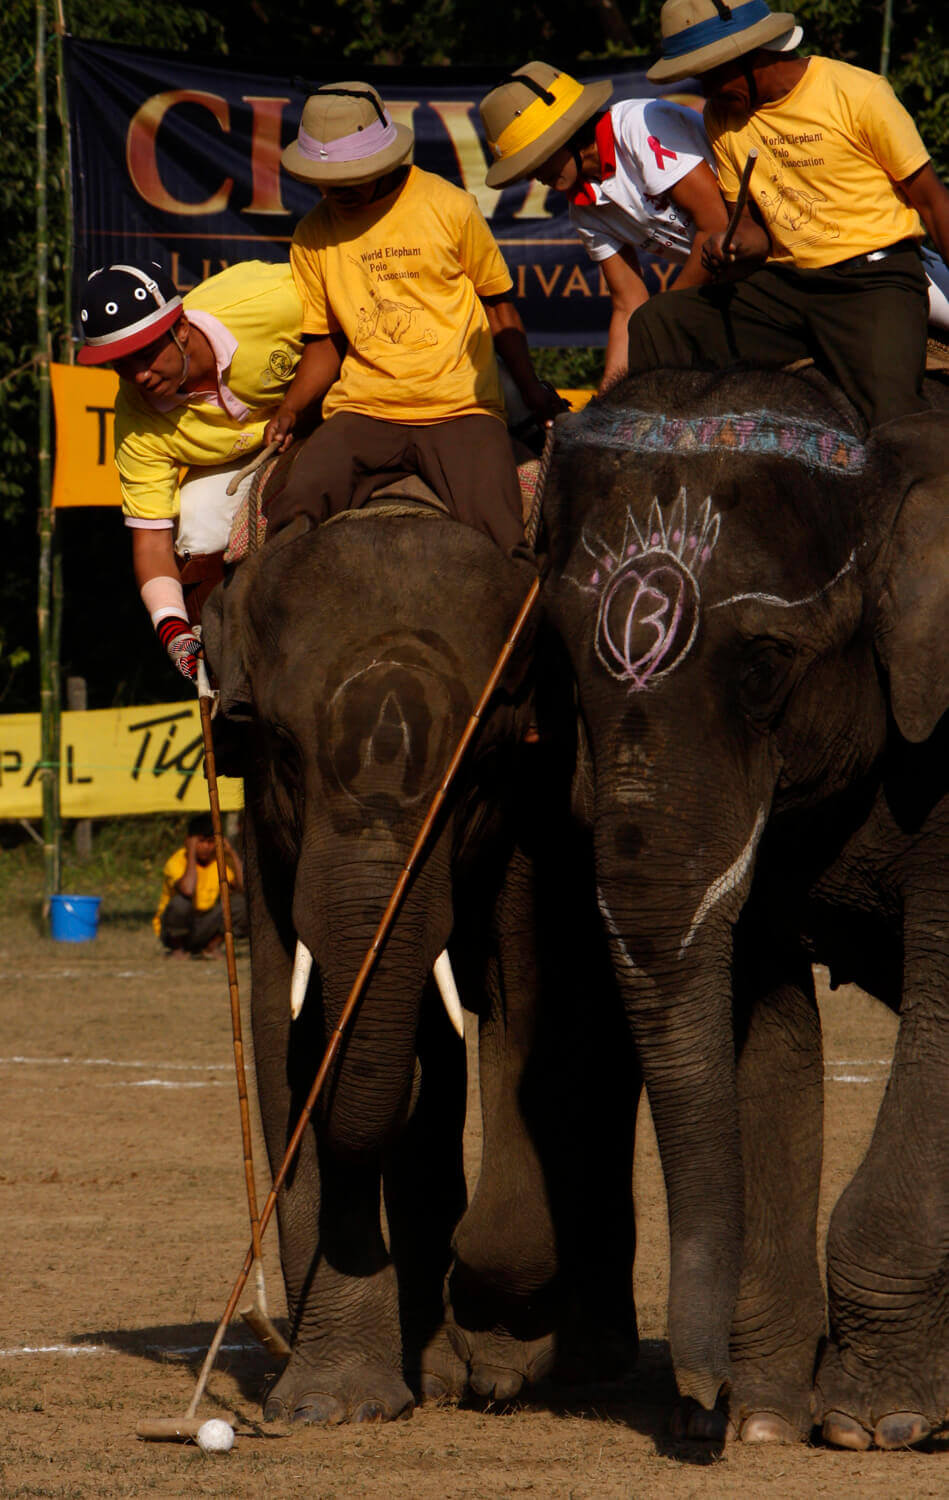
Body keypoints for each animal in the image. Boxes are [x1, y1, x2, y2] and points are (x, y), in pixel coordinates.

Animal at [202, 499, 637, 1425]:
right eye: (282, 750)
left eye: (478, 770)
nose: (261, 1334)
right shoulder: (265, 835)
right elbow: (284, 1034)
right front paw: (331, 1406)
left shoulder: (537, 804)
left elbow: (536, 1012)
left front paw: (500, 1356)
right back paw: (433, 1370)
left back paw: (570, 1359)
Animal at [540, 367, 949, 1450]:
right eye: (564, 656)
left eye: (765, 661)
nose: (698, 1417)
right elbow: (764, 1028)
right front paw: (768, 1419)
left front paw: (877, 1422)